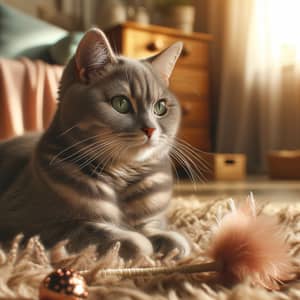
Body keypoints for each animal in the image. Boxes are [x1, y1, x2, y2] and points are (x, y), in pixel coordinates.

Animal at [0, 27, 190, 258]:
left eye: (160, 108)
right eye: (121, 103)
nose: (151, 129)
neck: (121, 174)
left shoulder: (152, 218)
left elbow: (166, 234)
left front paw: (169, 243)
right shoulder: (28, 221)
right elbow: (97, 230)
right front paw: (139, 245)